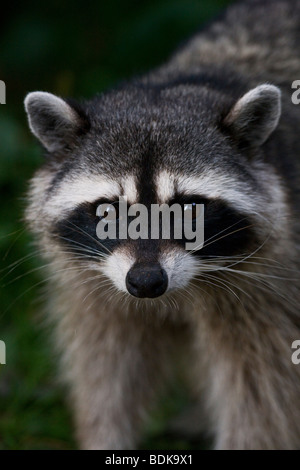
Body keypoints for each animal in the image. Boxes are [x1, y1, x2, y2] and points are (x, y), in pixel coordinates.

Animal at [24, 0, 300, 448]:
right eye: (108, 212)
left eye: (188, 210)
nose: (146, 282)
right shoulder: (95, 286)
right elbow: (107, 367)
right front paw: (105, 435)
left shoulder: (274, 281)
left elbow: (262, 393)